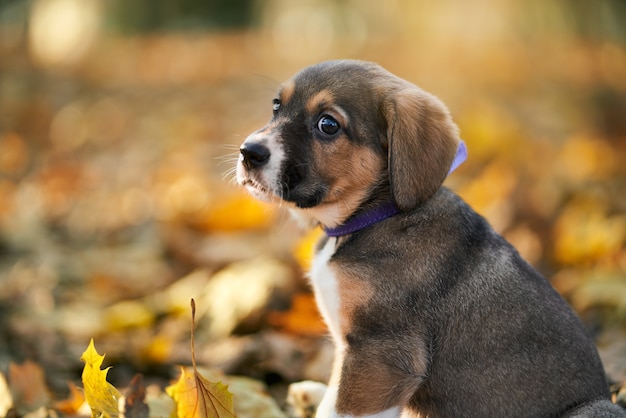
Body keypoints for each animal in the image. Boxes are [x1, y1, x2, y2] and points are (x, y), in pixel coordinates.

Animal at [233, 60, 620, 416]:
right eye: (276, 106)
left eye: (328, 125)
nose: (248, 152)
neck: (372, 217)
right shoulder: (353, 351)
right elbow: (335, 391)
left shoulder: (381, 355)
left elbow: (339, 408)